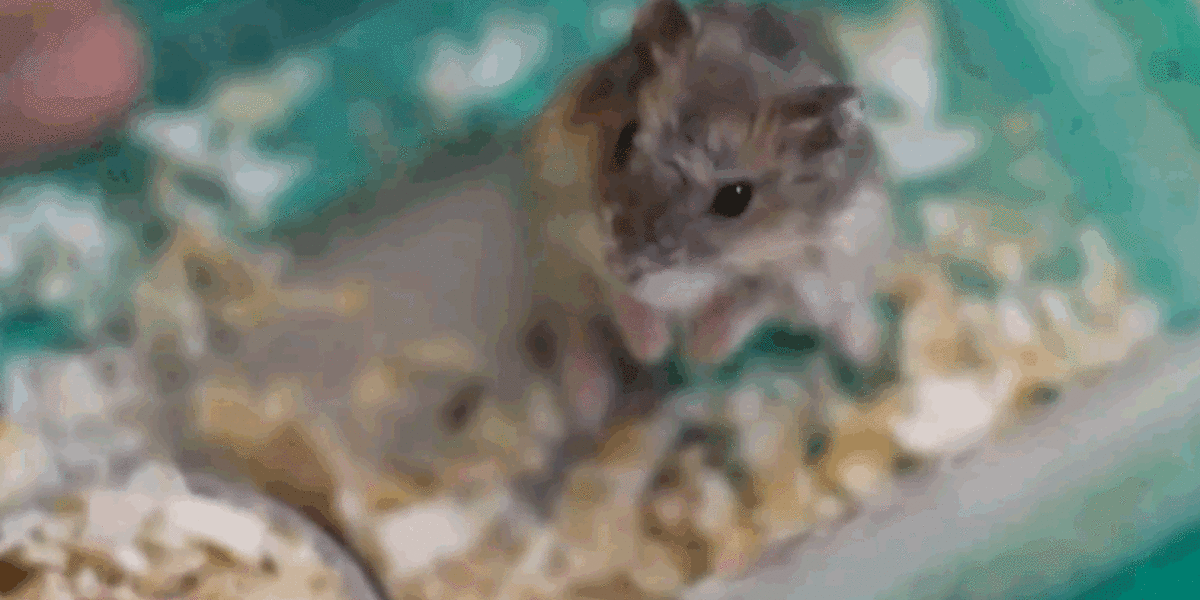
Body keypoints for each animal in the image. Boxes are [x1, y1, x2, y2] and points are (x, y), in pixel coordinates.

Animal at [523, 0, 897, 433]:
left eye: (734, 198)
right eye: (624, 140)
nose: (627, 266)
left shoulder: (808, 266)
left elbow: (747, 299)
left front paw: (694, 351)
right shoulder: (570, 220)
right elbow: (615, 293)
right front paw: (655, 349)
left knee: (854, 331)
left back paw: (878, 373)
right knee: (573, 329)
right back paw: (589, 406)